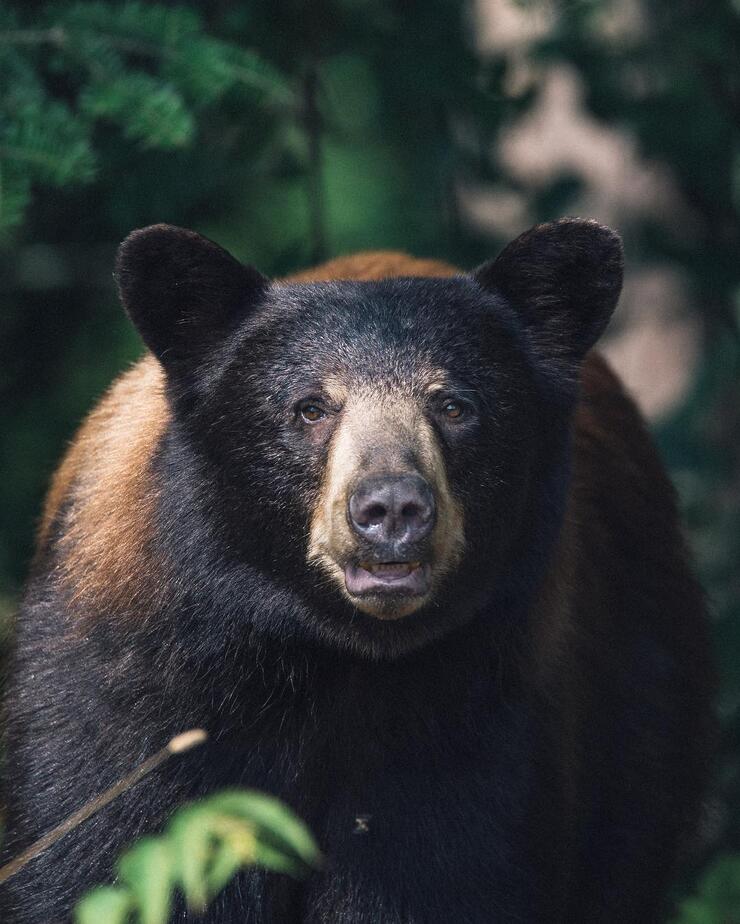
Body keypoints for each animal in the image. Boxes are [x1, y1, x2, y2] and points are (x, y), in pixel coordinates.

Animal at [1, 219, 713, 923]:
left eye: (455, 406)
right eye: (311, 407)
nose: (391, 507)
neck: (330, 658)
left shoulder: (475, 728)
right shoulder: (132, 711)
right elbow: (92, 856)